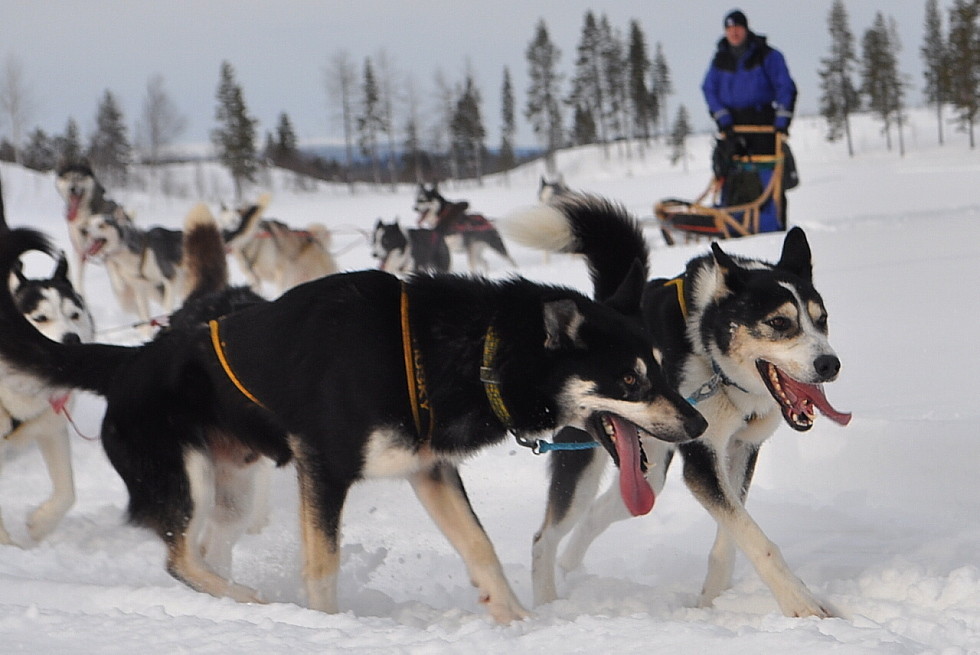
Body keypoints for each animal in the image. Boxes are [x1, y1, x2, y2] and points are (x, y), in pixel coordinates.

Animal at [0, 224, 708, 620]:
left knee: (201, 550)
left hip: (230, 489)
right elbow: (324, 565)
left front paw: (517, 621)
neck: (457, 351)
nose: (698, 423)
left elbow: (481, 548)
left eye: (658, 368)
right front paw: (327, 627)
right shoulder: (324, 469)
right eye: (630, 381)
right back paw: (252, 603)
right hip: (185, 478)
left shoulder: (430, 469)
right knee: (178, 557)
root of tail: (128, 361)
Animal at [512, 196, 848, 620]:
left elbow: (732, 537)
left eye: (822, 321)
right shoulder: (703, 460)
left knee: (601, 513)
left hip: (649, 470)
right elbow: (756, 538)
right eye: (779, 323)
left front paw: (711, 603)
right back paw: (548, 603)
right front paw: (801, 605)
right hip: (583, 461)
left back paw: (570, 570)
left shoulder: (741, 450)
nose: (830, 364)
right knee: (545, 536)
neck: (708, 351)